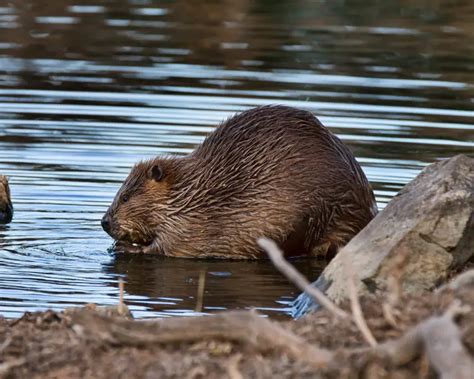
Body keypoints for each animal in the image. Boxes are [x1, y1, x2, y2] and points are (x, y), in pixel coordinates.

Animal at [102, 105, 376, 260]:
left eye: (125, 197)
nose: (104, 222)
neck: (191, 192)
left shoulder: (188, 225)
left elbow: (165, 247)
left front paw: (123, 247)